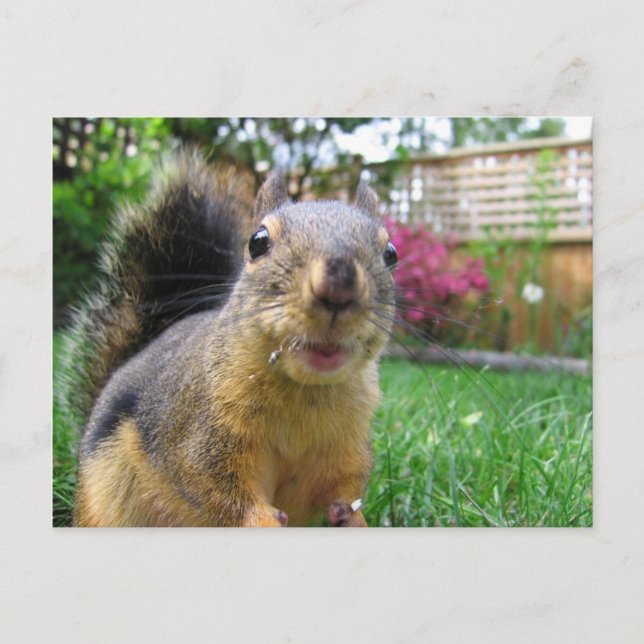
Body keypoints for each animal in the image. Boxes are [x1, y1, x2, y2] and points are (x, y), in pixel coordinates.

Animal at [64, 149, 398, 527]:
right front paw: (264, 520)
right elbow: (215, 488)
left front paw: (354, 518)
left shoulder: (348, 446)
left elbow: (345, 488)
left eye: (391, 254)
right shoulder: (195, 435)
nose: (339, 285)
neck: (306, 391)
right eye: (258, 242)